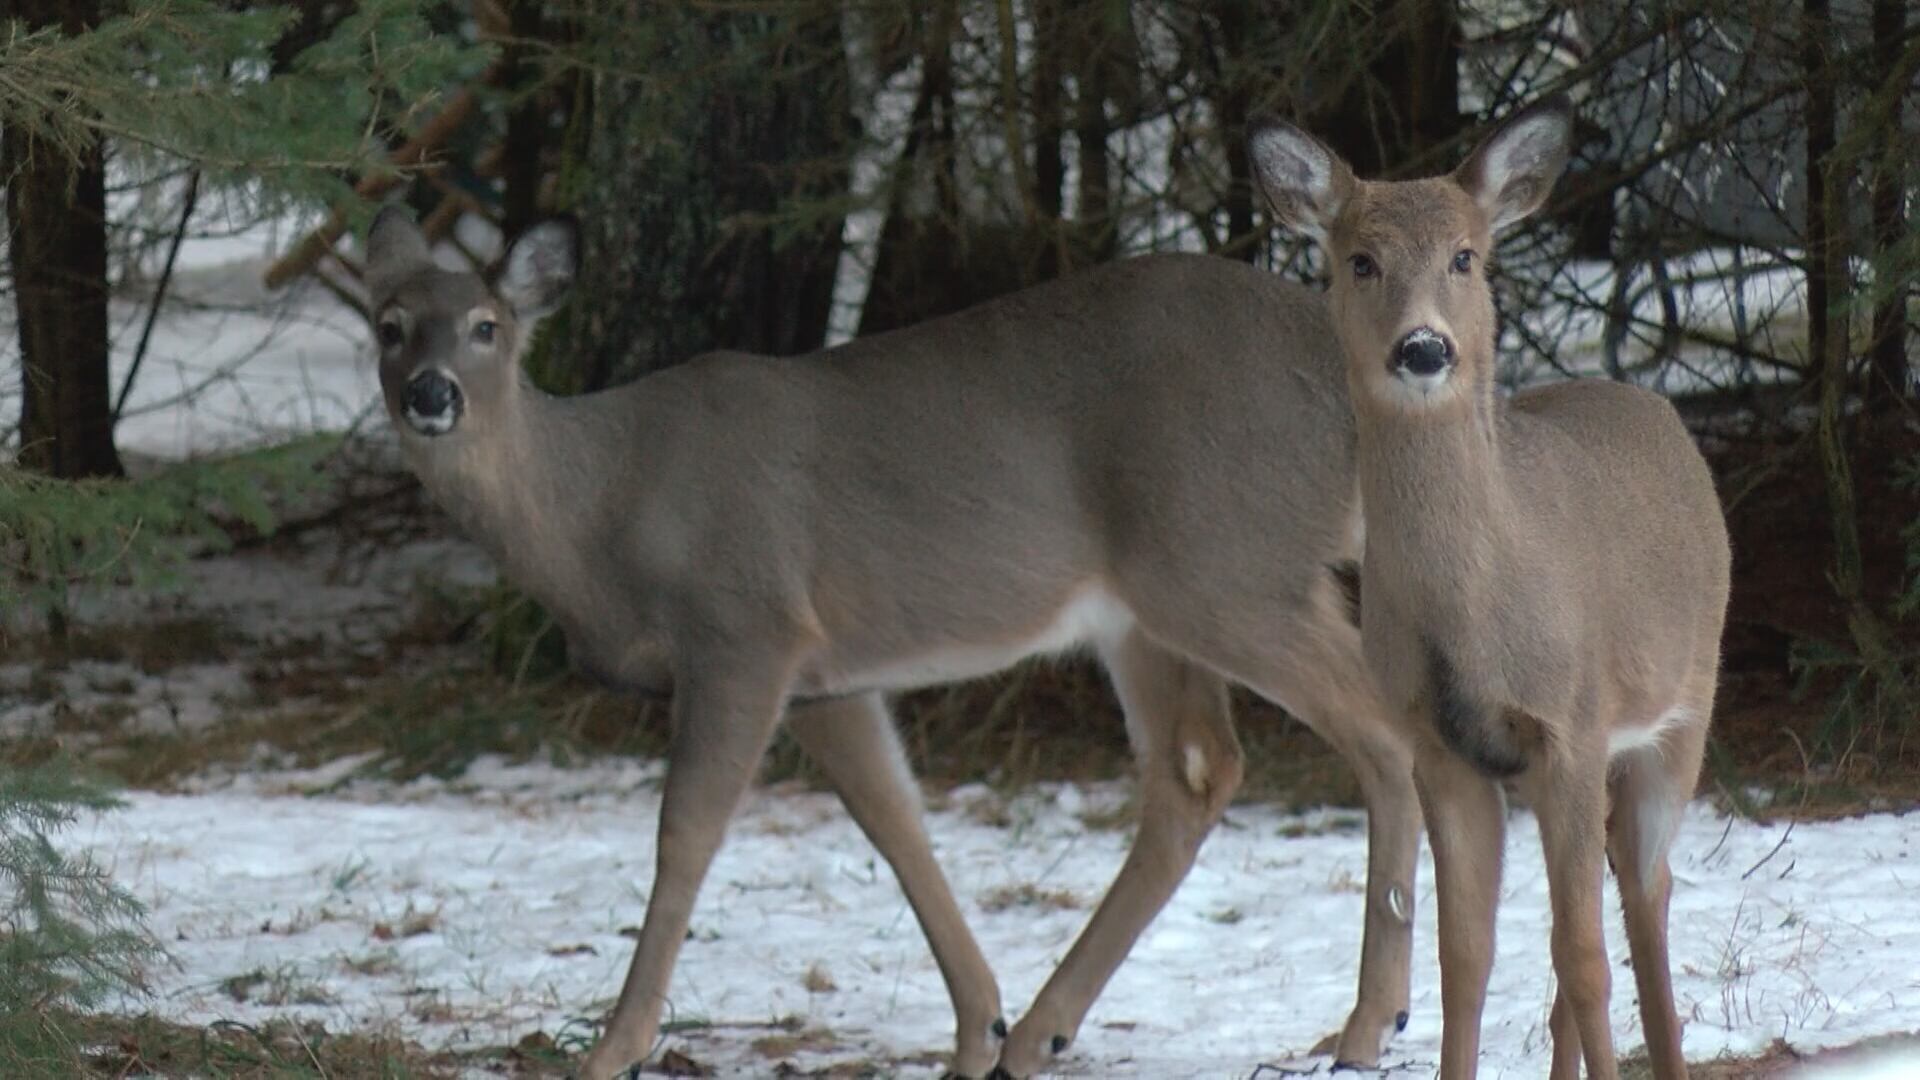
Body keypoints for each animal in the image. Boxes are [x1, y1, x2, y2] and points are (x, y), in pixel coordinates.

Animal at [362, 206, 1422, 1079]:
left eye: (487, 327)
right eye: (388, 323)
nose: (431, 393)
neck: (603, 510)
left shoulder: (743, 627)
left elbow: (685, 835)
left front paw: (612, 1048)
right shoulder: (827, 675)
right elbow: (895, 820)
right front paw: (977, 1025)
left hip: (1226, 560)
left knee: (1382, 731)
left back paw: (1369, 1023)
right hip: (1149, 609)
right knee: (1198, 772)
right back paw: (1043, 1032)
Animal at [1249, 97, 1731, 1080]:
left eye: (1466, 256)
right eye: (1360, 259)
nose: (1423, 346)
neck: (1471, 614)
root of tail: (1653, 403)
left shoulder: (1569, 722)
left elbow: (1582, 956)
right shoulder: (1441, 746)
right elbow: (1464, 954)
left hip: (1682, 710)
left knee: (1645, 893)